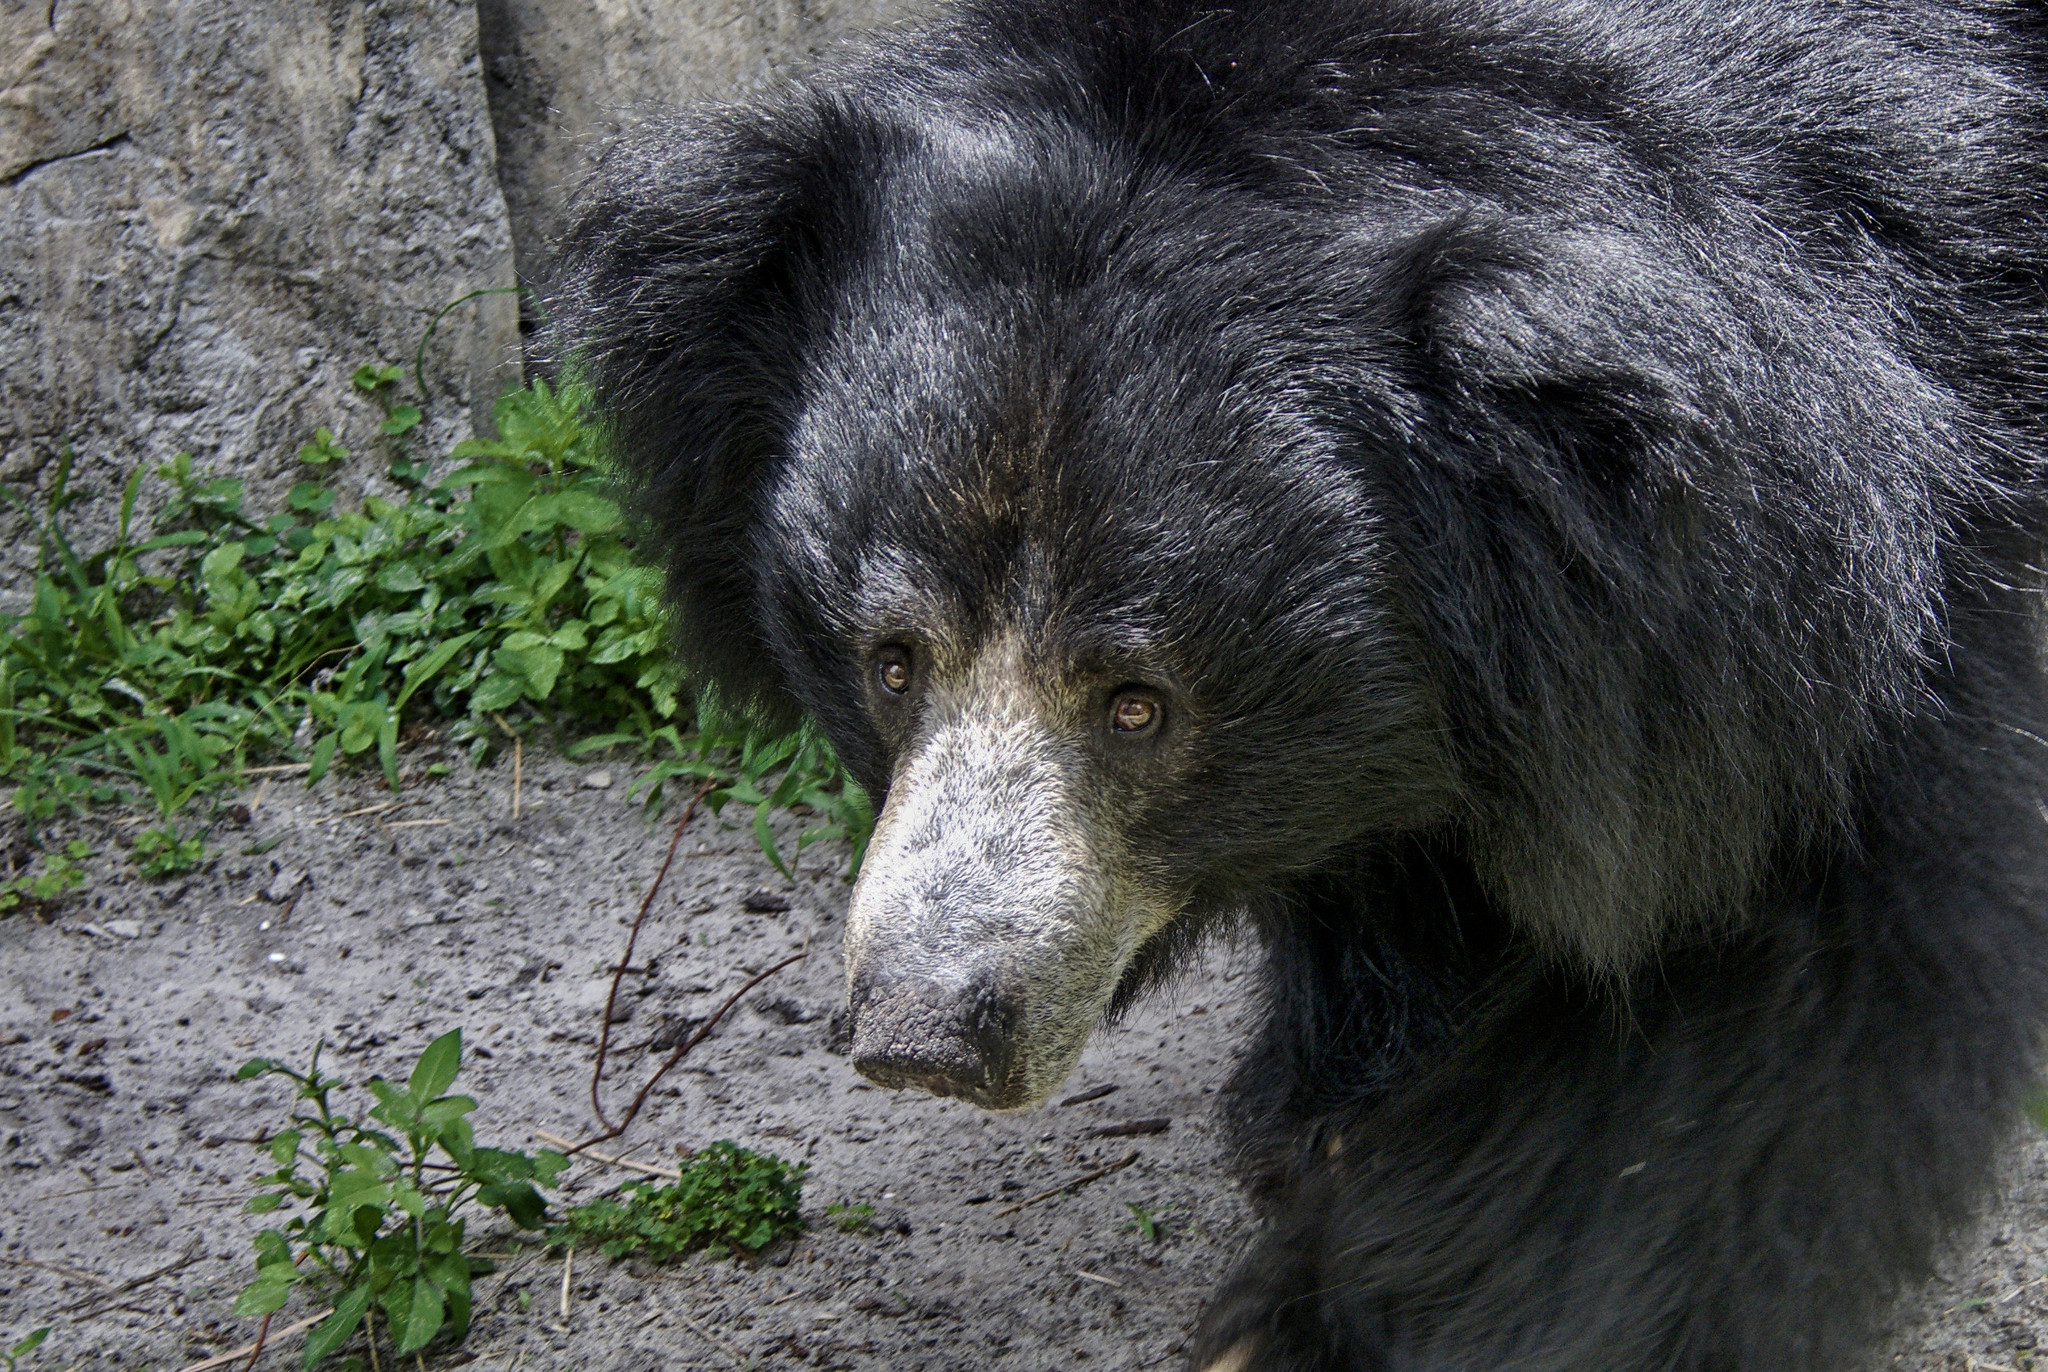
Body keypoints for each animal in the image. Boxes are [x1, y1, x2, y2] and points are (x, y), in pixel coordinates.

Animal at [552, 2, 2048, 1372]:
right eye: (893, 659)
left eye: (1137, 701)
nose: (927, 1034)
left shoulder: (1841, 622)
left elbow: (1780, 1016)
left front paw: (1353, 1315)